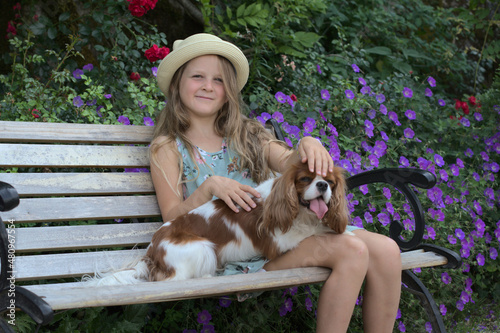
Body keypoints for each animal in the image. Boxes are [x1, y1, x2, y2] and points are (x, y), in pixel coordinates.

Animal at [86, 160, 350, 284]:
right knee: (175, 278)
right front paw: (346, 234)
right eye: (305, 179)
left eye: (331, 182)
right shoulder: (278, 241)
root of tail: (151, 253)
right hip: (202, 248)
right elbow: (313, 231)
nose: (323, 185)